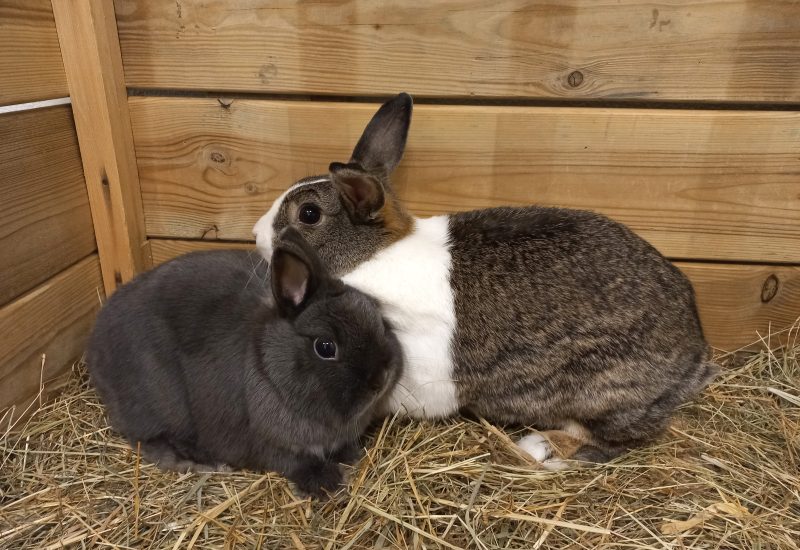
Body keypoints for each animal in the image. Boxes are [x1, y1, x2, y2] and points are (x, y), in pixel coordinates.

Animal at [86, 227, 402, 496]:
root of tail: (94, 348)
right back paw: (197, 461)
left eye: (377, 318)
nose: (382, 377)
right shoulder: (269, 443)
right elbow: (293, 462)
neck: (270, 368)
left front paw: (349, 456)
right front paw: (325, 482)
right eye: (325, 347)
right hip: (161, 403)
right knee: (149, 440)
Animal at [253, 93, 719, 469]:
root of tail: (695, 356)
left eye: (308, 214)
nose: (255, 233)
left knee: (614, 439)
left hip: (603, 390)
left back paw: (540, 448)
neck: (373, 254)